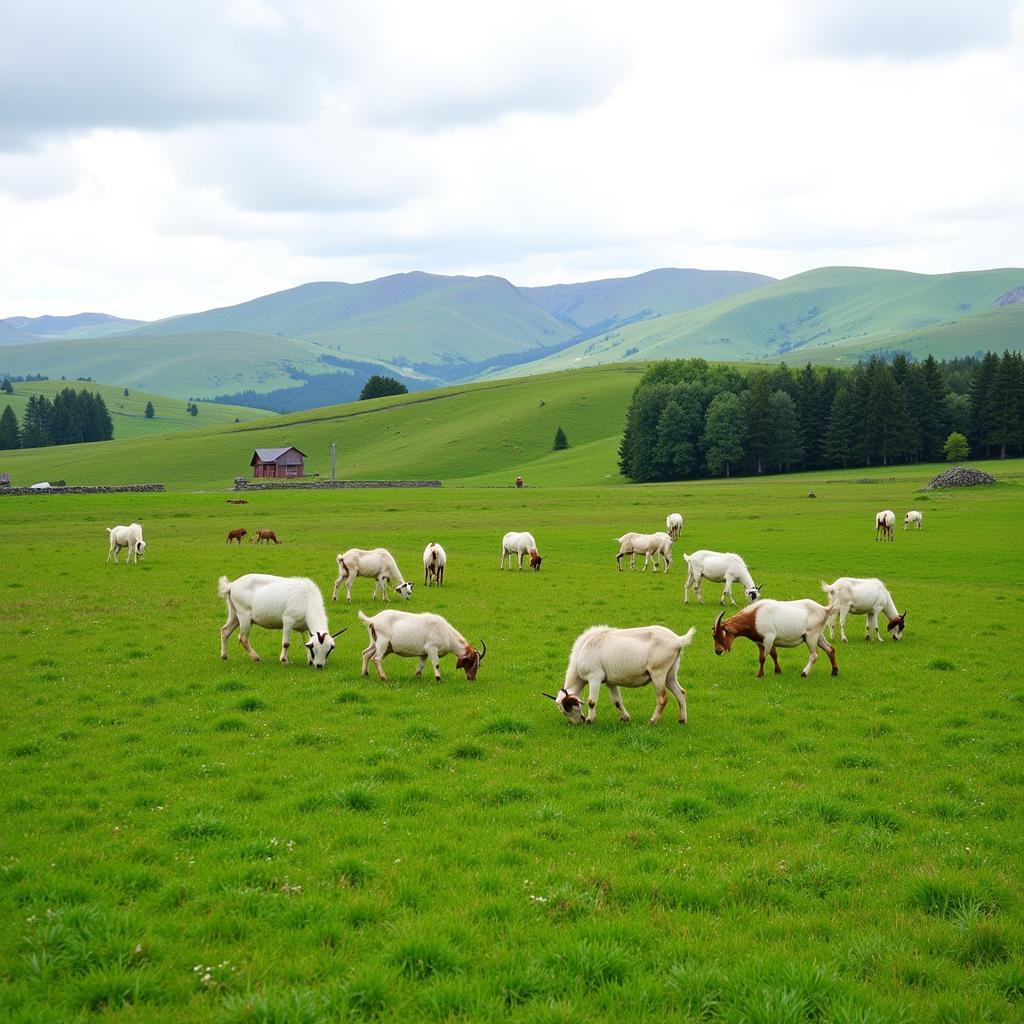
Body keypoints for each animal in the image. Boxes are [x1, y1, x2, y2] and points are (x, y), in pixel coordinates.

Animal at [218, 573, 346, 667]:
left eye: (329, 650)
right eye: (315, 649)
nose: (319, 666)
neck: (307, 599)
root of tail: (231, 585)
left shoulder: (304, 627)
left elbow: (306, 642)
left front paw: (309, 661)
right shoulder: (288, 620)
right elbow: (286, 643)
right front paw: (284, 660)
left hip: (234, 614)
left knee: (225, 631)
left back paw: (224, 656)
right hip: (244, 615)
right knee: (243, 638)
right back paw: (257, 658)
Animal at [544, 626, 696, 724]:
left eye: (569, 709)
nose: (578, 723)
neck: (583, 650)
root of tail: (678, 640)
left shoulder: (594, 677)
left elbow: (592, 702)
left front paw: (590, 720)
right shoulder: (611, 681)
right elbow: (617, 701)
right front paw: (625, 719)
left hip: (658, 673)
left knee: (662, 699)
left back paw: (652, 721)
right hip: (670, 673)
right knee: (681, 693)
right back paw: (682, 720)